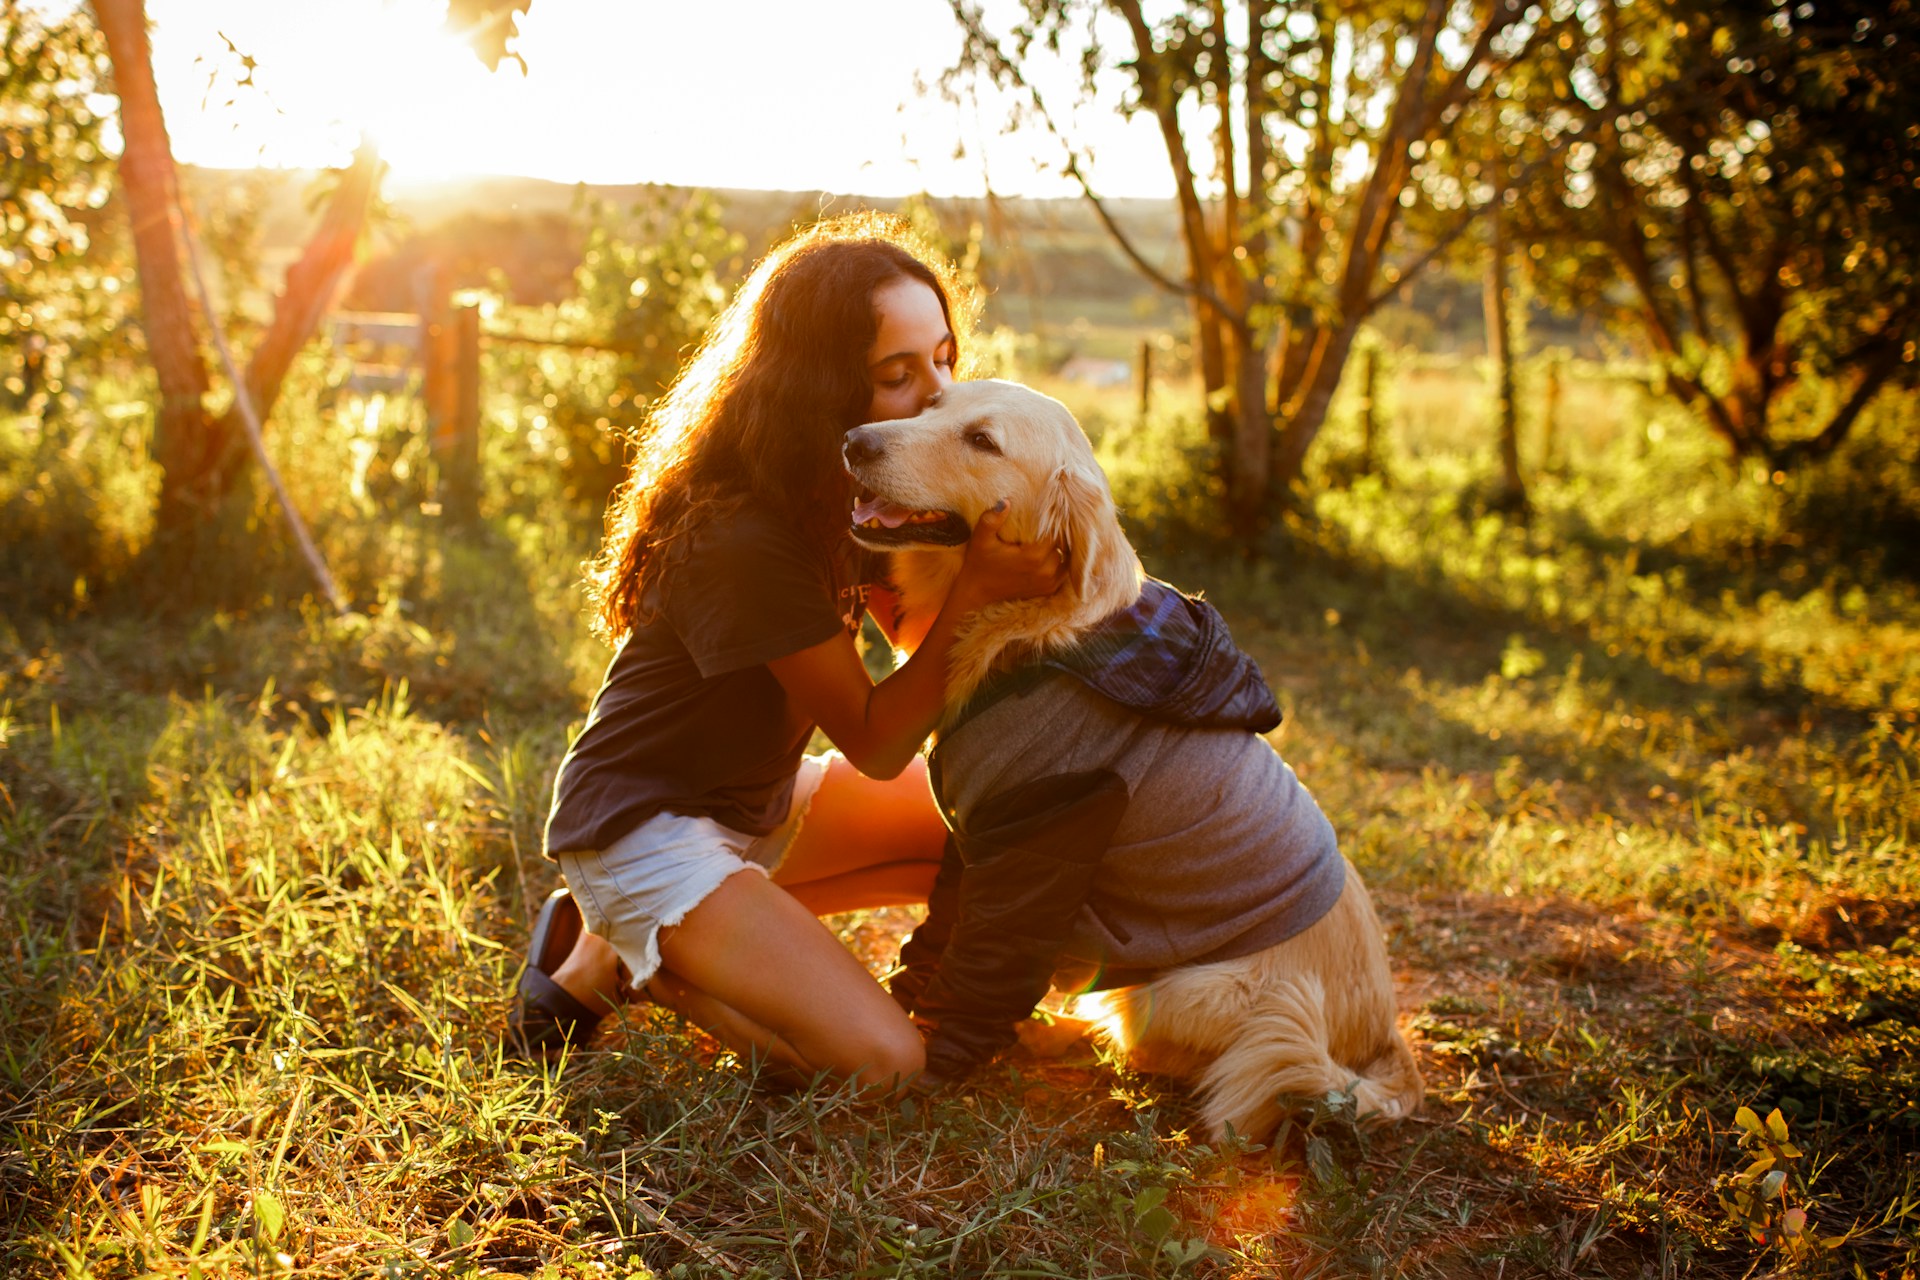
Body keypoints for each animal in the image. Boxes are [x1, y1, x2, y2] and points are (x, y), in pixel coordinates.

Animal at [844, 376, 1428, 1136]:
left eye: (982, 441)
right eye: (933, 404)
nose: (853, 440)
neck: (1035, 634)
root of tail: (1385, 1042)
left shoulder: (1043, 828)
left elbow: (985, 959)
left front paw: (935, 1058)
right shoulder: (975, 834)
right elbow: (943, 927)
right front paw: (905, 995)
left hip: (1199, 996)